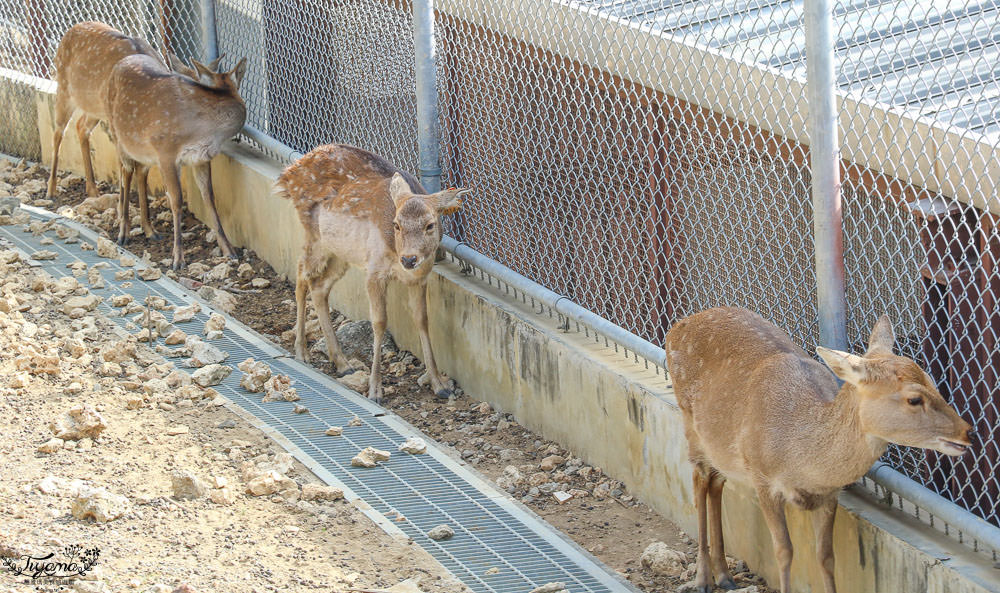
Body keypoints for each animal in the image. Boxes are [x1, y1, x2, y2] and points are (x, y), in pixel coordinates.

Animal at [46, 20, 160, 199]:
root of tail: (70, 30)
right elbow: (125, 164)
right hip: (64, 88)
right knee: (59, 132)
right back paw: (51, 189)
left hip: (95, 107)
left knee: (80, 126)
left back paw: (92, 189)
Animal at [102, 52, 247, 268]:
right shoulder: (166, 153)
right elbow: (176, 200)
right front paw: (178, 259)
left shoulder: (201, 157)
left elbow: (209, 197)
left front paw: (229, 250)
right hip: (118, 135)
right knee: (125, 173)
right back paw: (123, 233)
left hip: (144, 150)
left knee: (140, 172)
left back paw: (150, 230)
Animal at [276, 143, 470, 402]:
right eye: (396, 224)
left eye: (430, 225)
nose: (409, 258)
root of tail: (290, 173)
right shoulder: (374, 271)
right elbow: (379, 322)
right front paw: (375, 390)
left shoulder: (420, 277)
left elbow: (422, 319)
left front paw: (439, 385)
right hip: (314, 236)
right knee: (300, 275)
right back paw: (302, 352)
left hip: (340, 252)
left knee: (319, 287)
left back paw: (342, 363)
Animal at [668, 308, 972, 592]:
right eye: (914, 399)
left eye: (932, 380)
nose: (967, 432)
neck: (799, 456)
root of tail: (677, 327)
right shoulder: (763, 478)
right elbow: (784, 551)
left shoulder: (830, 494)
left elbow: (826, 556)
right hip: (690, 424)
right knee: (699, 482)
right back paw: (703, 578)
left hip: (722, 448)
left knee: (716, 483)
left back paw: (725, 575)